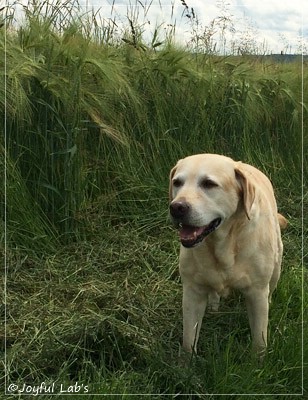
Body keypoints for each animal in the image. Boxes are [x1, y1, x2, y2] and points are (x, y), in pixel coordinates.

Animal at [168, 154, 286, 356]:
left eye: (208, 184)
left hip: (276, 264)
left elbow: (259, 338)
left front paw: (258, 360)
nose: (176, 207)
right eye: (177, 182)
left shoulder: (257, 293)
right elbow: (188, 340)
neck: (223, 244)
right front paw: (186, 362)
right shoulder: (192, 292)